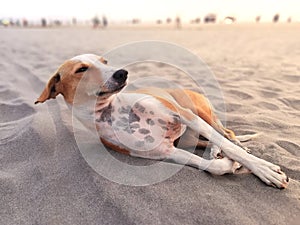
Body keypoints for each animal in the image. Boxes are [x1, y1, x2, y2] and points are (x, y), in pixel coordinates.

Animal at [34, 53, 288, 188]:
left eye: (104, 61)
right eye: (81, 69)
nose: (122, 73)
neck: (115, 112)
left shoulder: (184, 115)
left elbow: (233, 149)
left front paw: (265, 169)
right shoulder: (164, 152)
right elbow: (212, 167)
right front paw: (226, 164)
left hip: (200, 112)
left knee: (227, 135)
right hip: (188, 140)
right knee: (213, 141)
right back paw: (214, 152)